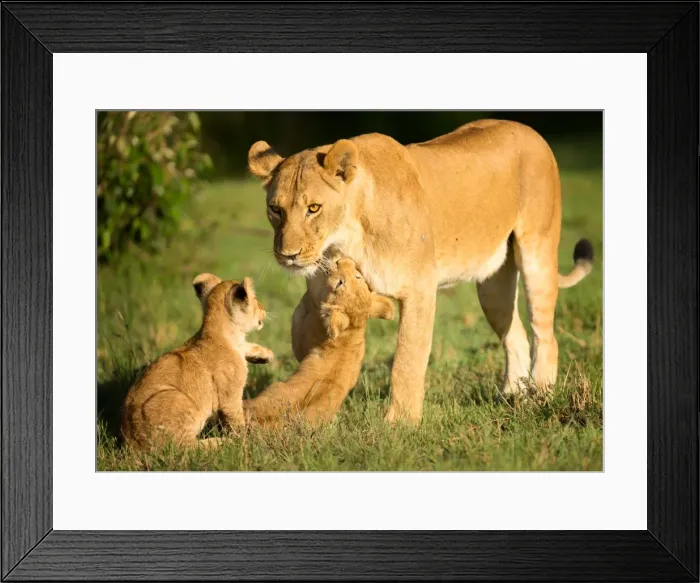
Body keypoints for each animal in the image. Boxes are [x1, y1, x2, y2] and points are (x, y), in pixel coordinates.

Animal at [120, 274, 273, 451]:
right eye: (255, 299)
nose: (263, 308)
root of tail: (131, 444)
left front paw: (266, 355)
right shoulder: (230, 397)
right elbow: (237, 422)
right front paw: (248, 442)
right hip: (178, 399)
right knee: (185, 447)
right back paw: (221, 442)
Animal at [244, 257, 394, 427]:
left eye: (340, 283)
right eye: (359, 276)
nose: (342, 260)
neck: (350, 332)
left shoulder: (302, 338)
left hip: (274, 385)